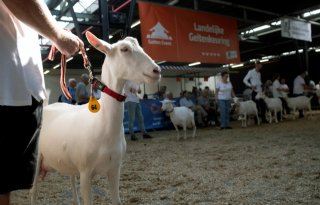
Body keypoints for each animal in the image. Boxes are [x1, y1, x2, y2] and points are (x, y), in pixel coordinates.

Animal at [31, 31, 161, 205]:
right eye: (124, 49)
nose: (156, 70)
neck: (102, 122)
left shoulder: (114, 169)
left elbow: (117, 201)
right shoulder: (85, 172)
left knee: (71, 181)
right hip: (37, 160)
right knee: (34, 192)